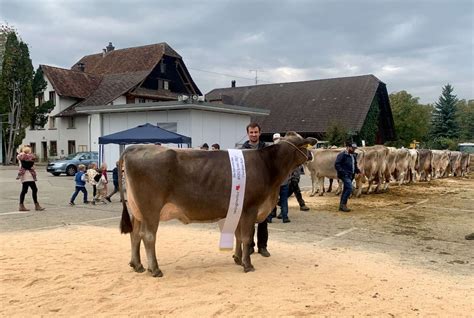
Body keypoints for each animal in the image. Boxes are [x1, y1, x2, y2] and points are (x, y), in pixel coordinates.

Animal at [120, 131, 316, 276]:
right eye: (304, 145)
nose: (312, 156)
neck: (268, 167)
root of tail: (135, 147)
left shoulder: (239, 210)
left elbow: (238, 236)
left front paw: (237, 259)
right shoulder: (250, 208)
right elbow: (246, 237)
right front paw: (248, 265)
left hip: (137, 210)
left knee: (135, 234)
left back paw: (137, 265)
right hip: (150, 209)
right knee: (148, 236)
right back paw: (155, 269)